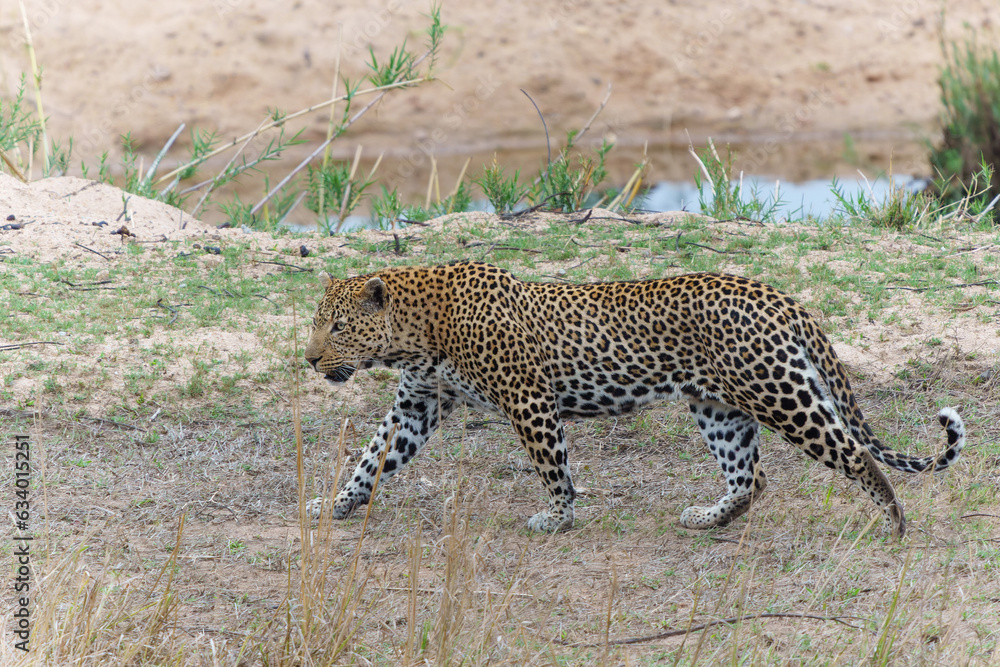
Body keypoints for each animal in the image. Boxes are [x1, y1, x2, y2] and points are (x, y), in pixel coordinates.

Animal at [304, 261, 965, 538]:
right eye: (318, 325)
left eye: (336, 327)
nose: (309, 359)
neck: (416, 333)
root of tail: (778, 295)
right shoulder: (418, 403)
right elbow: (373, 456)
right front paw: (335, 503)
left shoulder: (529, 401)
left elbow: (554, 467)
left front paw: (558, 518)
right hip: (719, 407)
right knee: (751, 478)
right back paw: (707, 519)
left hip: (779, 391)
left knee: (856, 455)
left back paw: (892, 524)